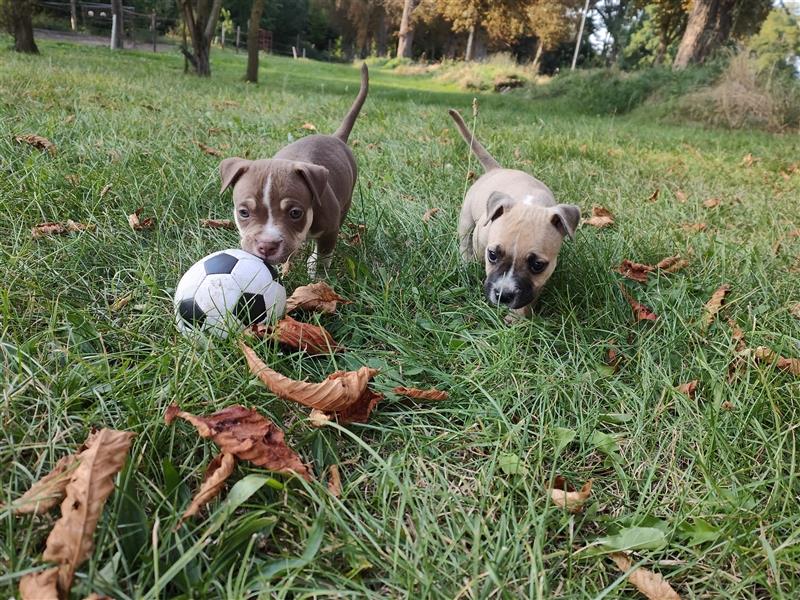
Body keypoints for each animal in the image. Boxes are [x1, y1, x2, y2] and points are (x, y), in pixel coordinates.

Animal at [219, 64, 368, 278]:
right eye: (244, 212)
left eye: (295, 213)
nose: (266, 246)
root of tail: (336, 137)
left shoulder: (330, 230)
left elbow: (324, 255)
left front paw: (318, 273)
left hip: (346, 201)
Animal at [446, 109, 580, 322]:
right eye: (492, 255)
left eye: (537, 265)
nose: (503, 296)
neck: (530, 204)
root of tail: (496, 169)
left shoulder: (539, 280)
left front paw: (517, 317)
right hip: (466, 219)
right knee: (464, 240)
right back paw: (465, 262)